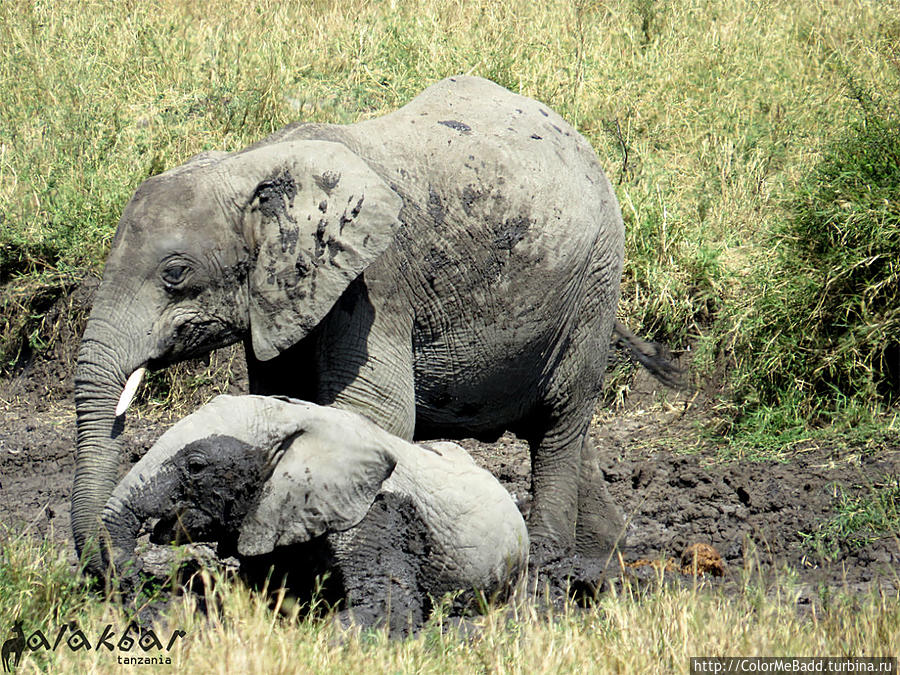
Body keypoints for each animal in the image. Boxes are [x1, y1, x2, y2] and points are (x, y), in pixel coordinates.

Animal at [74, 75, 624, 576]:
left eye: (175, 274)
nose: (117, 571)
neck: (253, 164)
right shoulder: (278, 299)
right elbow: (279, 398)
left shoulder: (375, 281)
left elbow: (375, 413)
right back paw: (606, 553)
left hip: (595, 284)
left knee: (559, 423)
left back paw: (551, 560)